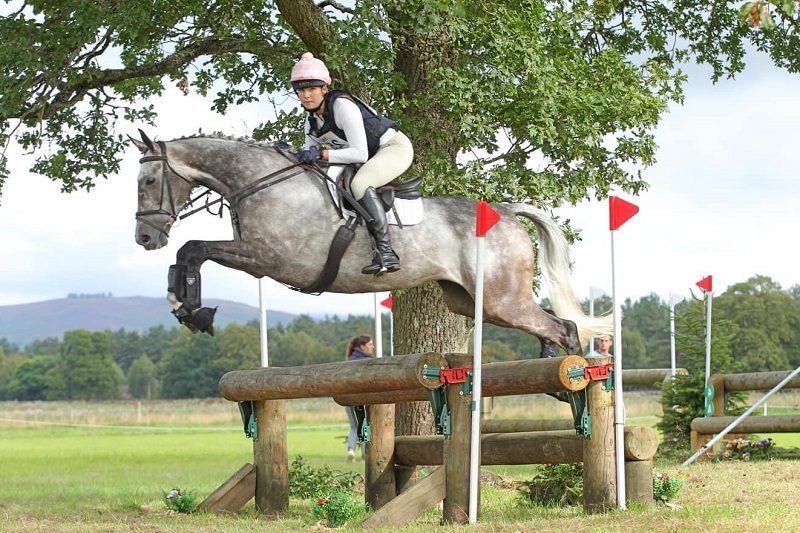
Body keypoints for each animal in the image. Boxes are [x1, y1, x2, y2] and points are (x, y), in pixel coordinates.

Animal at [130, 130, 611, 355]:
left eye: (148, 181)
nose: (144, 238)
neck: (259, 181)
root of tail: (507, 211)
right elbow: (187, 253)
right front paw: (183, 306)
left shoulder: (268, 258)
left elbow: (194, 248)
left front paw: (194, 310)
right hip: (472, 301)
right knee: (548, 324)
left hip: (499, 298)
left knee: (565, 328)